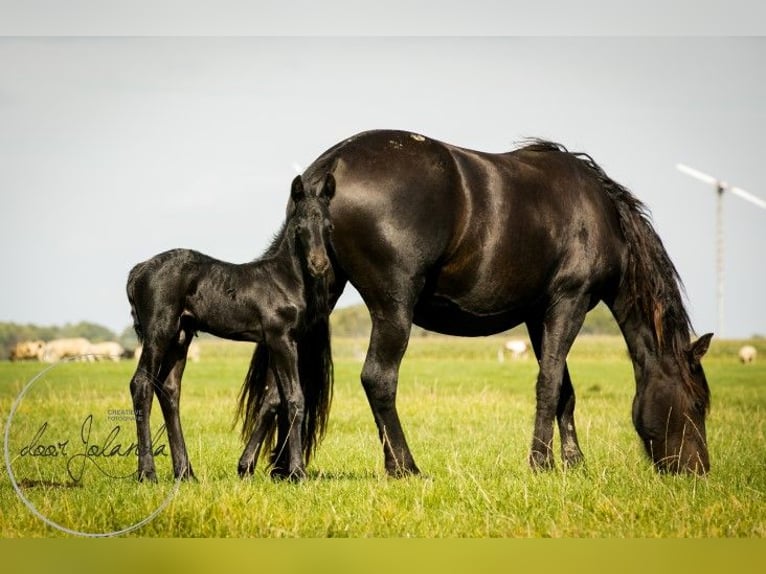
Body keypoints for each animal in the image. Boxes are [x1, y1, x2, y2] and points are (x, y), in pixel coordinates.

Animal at [127, 176, 336, 482]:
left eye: (329, 226)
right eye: (300, 228)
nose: (319, 265)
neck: (284, 279)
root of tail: (138, 270)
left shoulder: (278, 341)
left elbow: (272, 400)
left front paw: (245, 466)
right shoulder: (280, 338)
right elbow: (295, 399)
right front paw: (297, 472)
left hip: (181, 337)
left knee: (169, 389)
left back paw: (185, 473)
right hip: (159, 332)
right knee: (141, 384)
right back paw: (147, 473)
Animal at [244, 129, 712, 476]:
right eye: (697, 404)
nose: (698, 471)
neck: (600, 215)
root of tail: (330, 166)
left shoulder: (538, 315)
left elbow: (564, 388)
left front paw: (574, 463)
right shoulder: (569, 302)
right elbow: (549, 384)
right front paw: (541, 463)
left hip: (318, 299)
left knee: (278, 388)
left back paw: (270, 468)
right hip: (394, 308)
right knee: (378, 379)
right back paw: (404, 467)